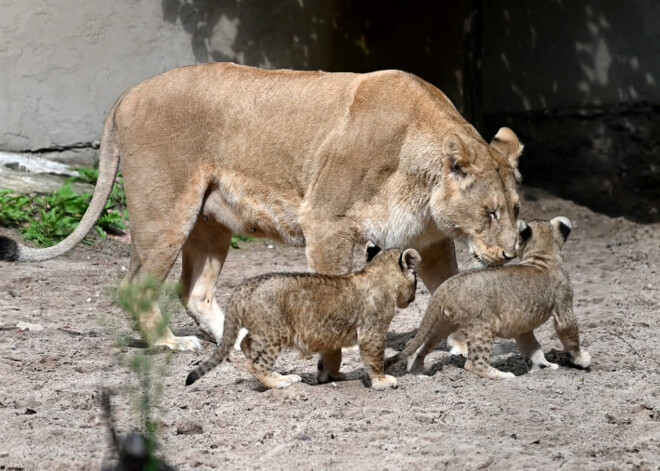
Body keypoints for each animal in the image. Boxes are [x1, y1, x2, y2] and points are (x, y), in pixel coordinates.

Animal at [1, 62, 524, 350]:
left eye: (516, 211)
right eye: (491, 213)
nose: (510, 255)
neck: (424, 178)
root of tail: (128, 93)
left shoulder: (431, 243)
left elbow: (449, 289)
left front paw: (461, 344)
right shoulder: (327, 223)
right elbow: (334, 288)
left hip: (210, 222)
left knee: (194, 290)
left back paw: (237, 340)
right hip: (166, 214)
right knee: (136, 285)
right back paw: (167, 343)